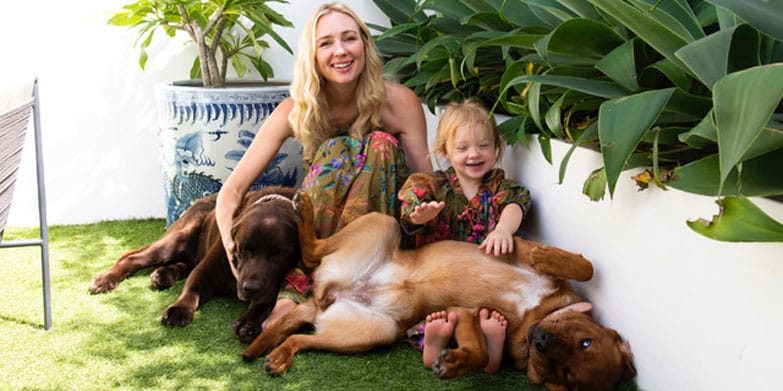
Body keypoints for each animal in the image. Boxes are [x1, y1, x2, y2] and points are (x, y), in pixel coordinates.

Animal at [242, 191, 632, 390]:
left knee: (300, 335)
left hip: (372, 332)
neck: (539, 311)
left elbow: (479, 353)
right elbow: (586, 266)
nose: (541, 339)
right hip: (382, 223)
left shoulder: (466, 314)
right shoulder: (516, 251)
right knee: (311, 251)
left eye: (564, 374)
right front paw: (548, 255)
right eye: (586, 341)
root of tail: (328, 294)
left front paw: (454, 362)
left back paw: (276, 356)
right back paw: (305, 209)